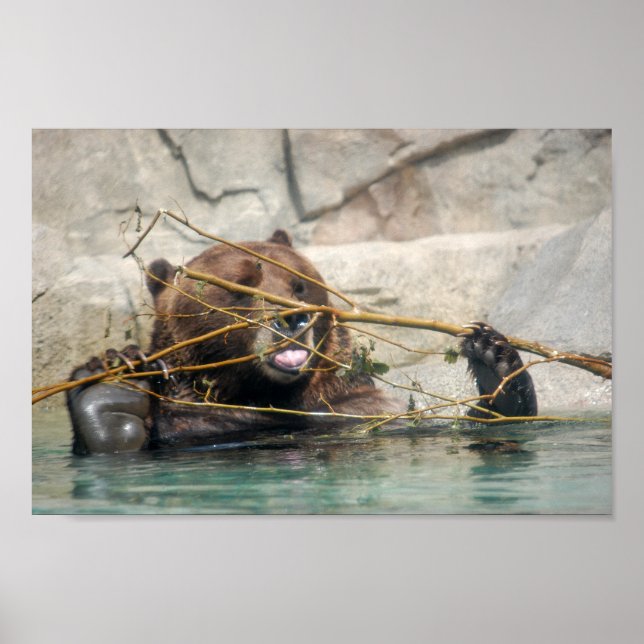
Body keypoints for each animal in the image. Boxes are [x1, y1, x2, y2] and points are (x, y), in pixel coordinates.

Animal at [66, 229, 537, 454]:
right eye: (240, 287)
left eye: (299, 284)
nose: (292, 317)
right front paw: (113, 384)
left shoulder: (356, 406)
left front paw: (494, 359)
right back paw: (112, 390)